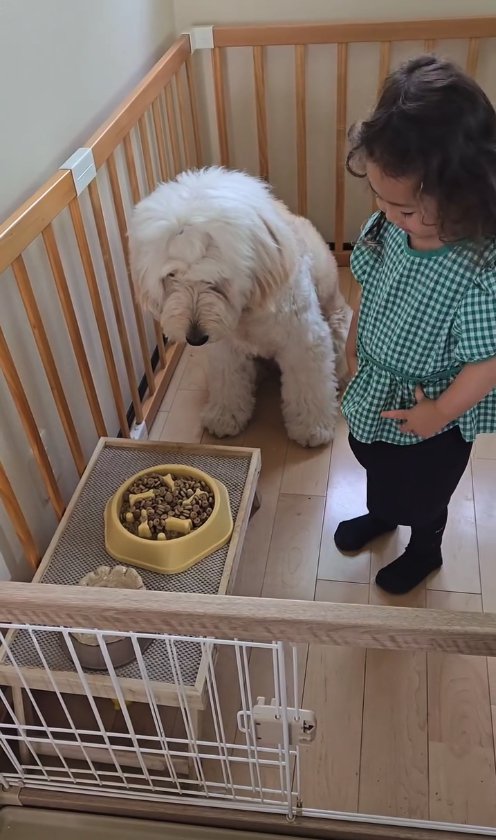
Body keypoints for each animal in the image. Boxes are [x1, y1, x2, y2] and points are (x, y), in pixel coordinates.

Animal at [130, 167, 350, 450]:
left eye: (214, 276)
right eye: (171, 275)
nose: (195, 338)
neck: (244, 313)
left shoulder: (304, 341)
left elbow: (308, 386)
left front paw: (312, 429)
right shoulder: (225, 348)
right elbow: (228, 383)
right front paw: (225, 418)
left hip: (337, 323)